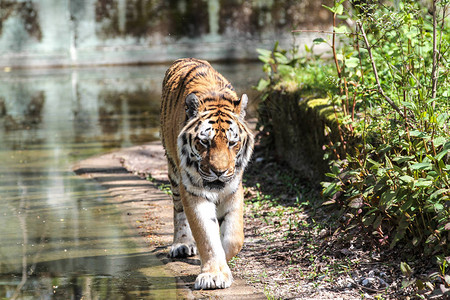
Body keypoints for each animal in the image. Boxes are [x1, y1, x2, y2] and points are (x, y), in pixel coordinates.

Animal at [160, 57, 255, 290]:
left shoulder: (234, 187)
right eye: (205, 142)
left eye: (232, 143)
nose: (219, 172)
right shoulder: (193, 191)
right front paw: (214, 274)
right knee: (178, 211)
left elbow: (234, 236)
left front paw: (223, 263)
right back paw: (182, 244)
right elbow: (206, 235)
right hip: (174, 173)